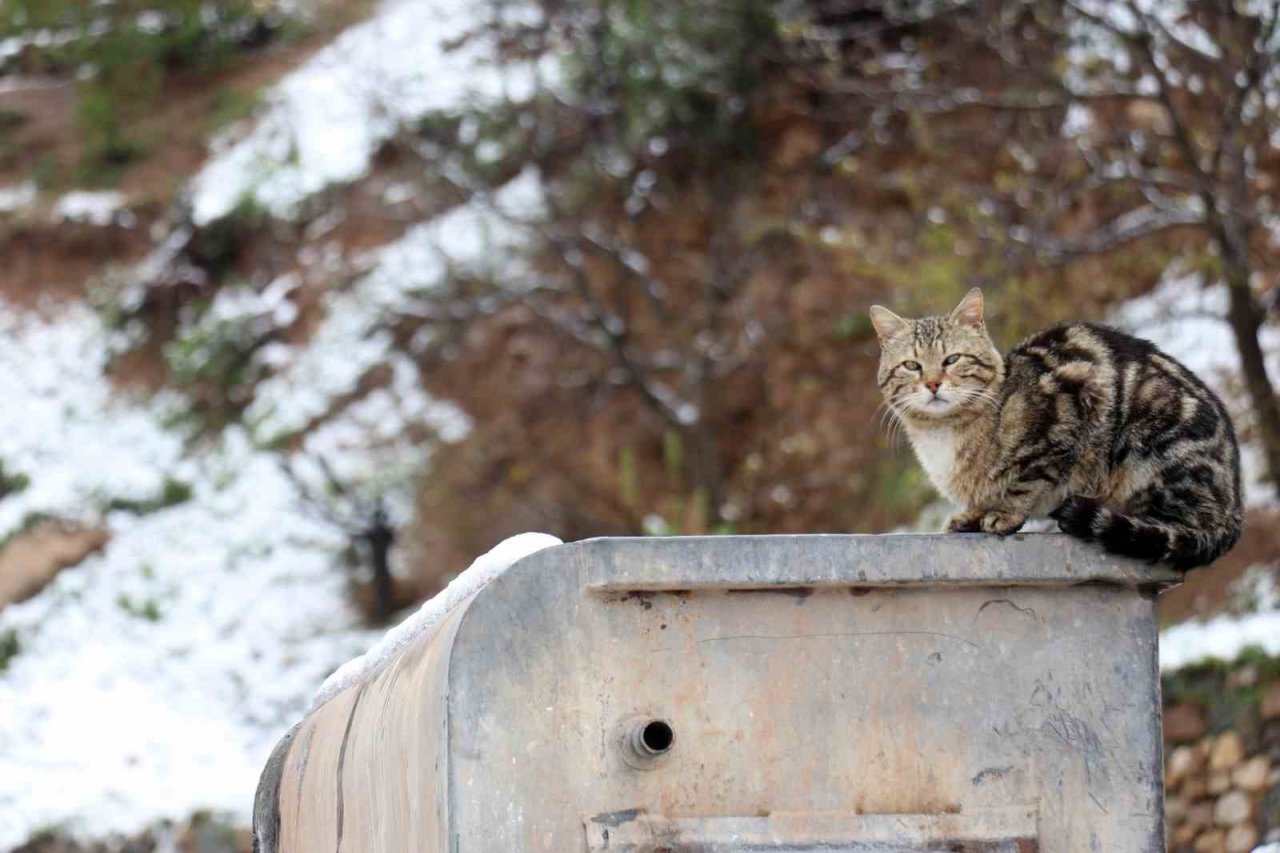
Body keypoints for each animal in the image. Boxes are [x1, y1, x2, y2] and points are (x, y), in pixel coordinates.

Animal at [870, 289, 1239, 568]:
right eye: (911, 365)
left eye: (952, 359)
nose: (932, 383)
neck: (943, 434)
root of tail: (1233, 509)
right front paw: (972, 515)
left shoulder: (1064, 419)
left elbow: (1026, 481)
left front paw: (1004, 514)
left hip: (1151, 441)